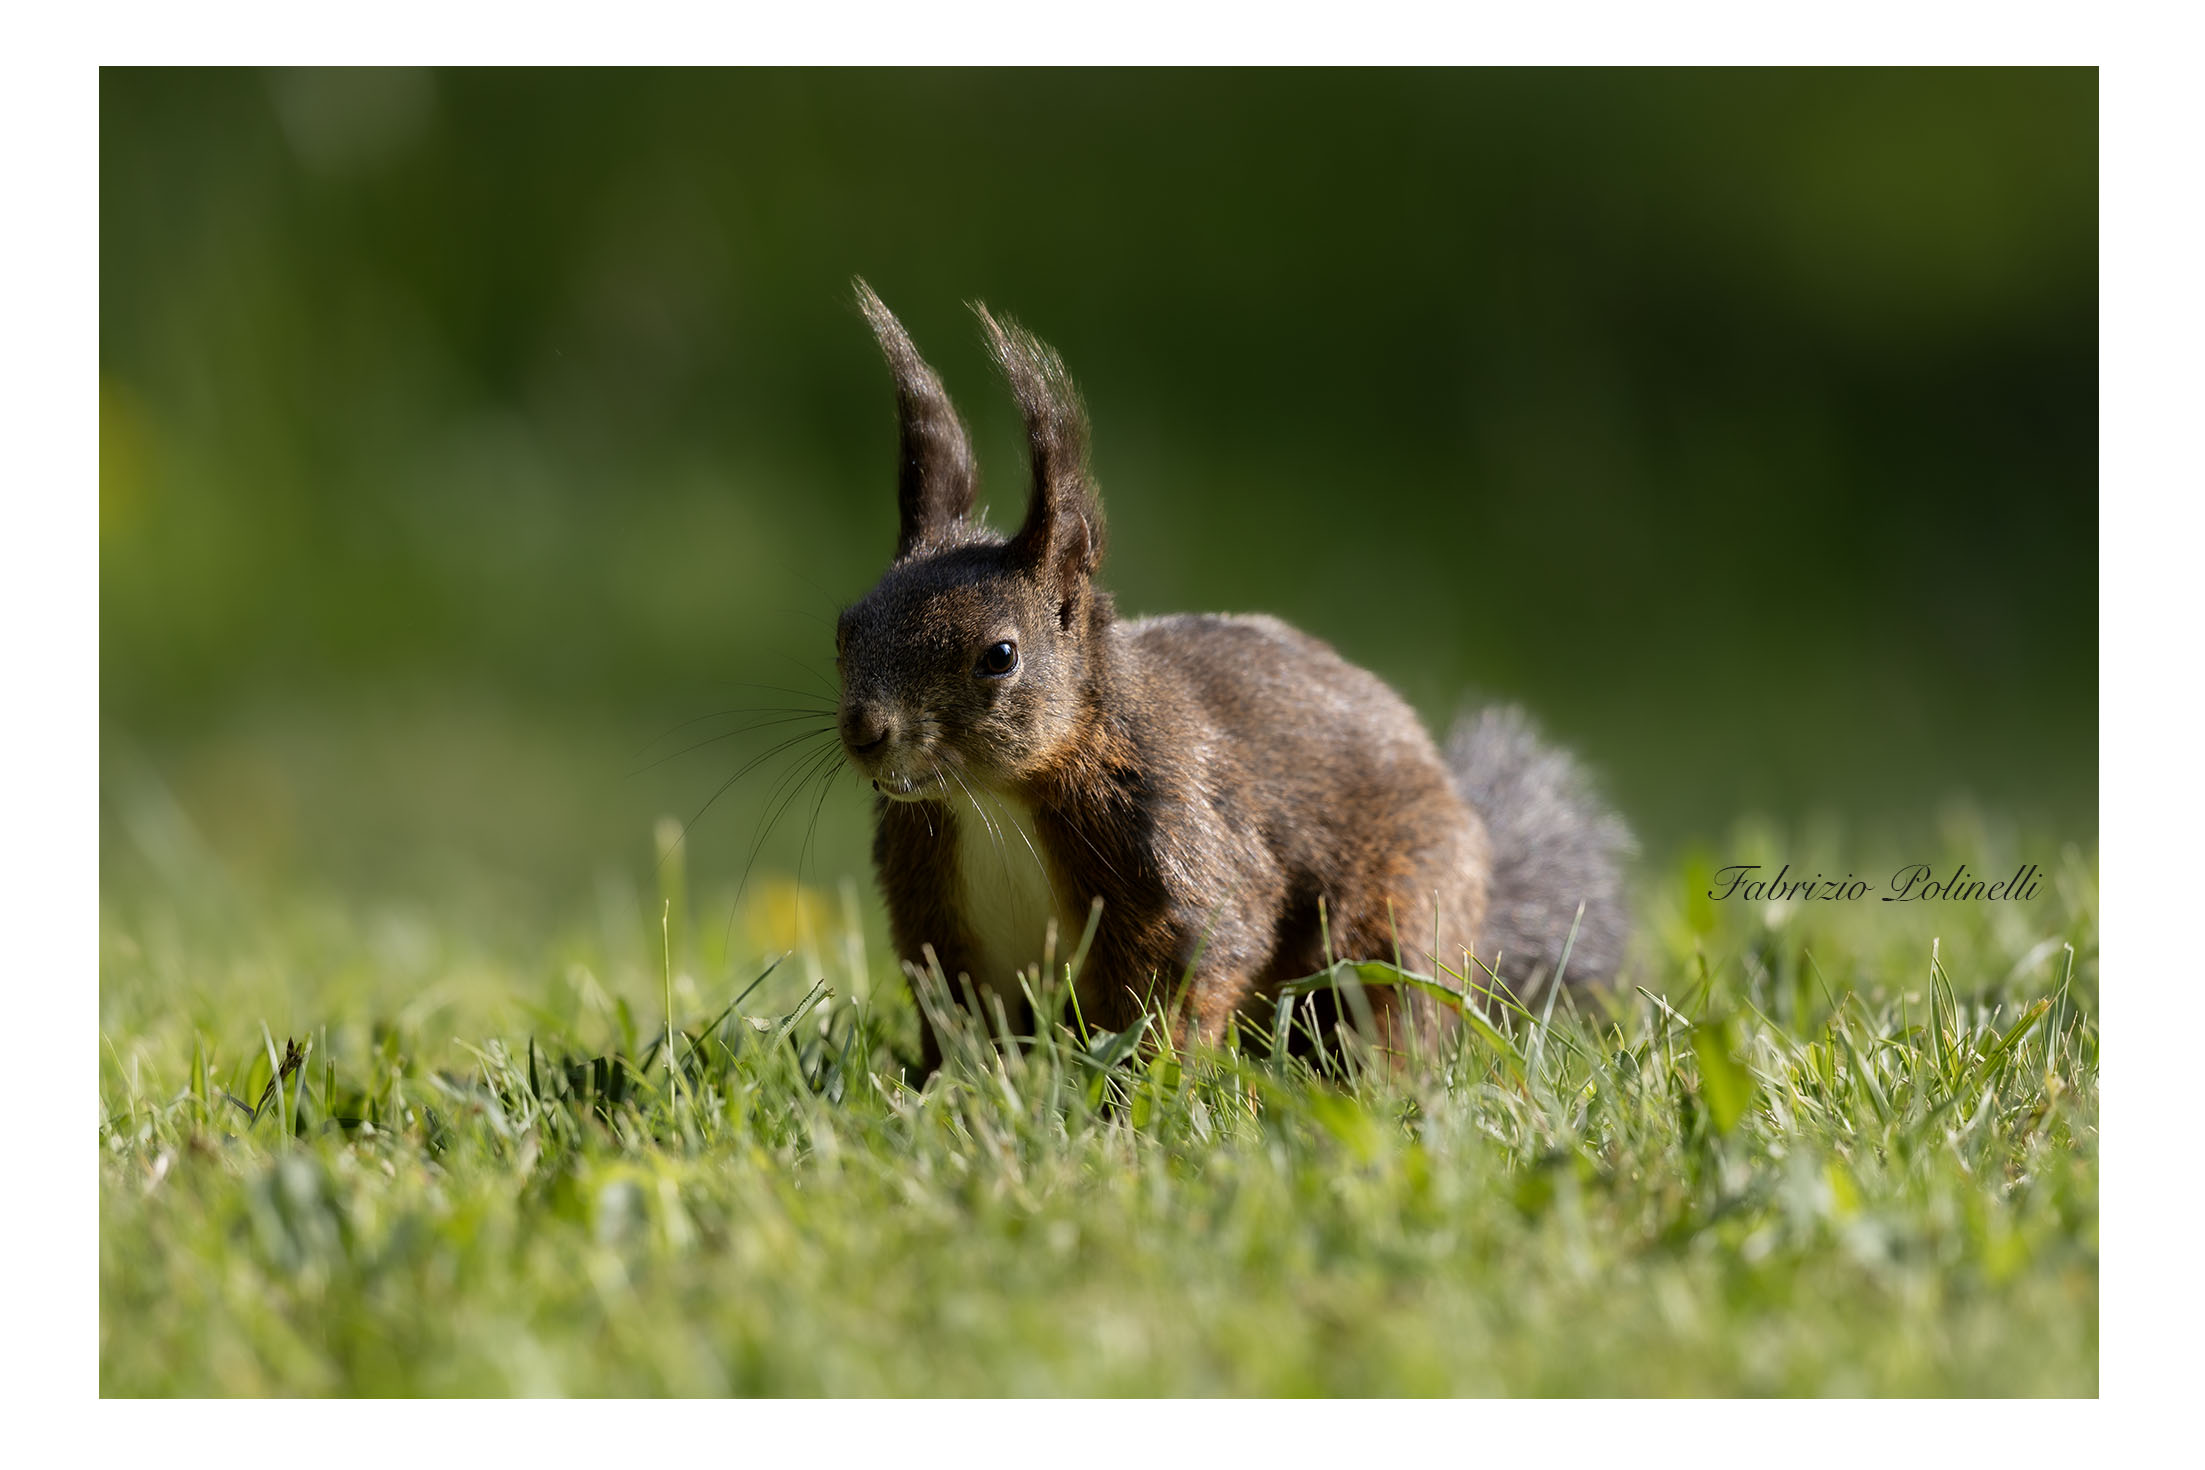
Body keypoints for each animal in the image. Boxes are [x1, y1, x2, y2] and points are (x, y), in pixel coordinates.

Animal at [836, 281, 1633, 1072]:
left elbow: (1193, 977)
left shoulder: (1179, 853)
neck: (994, 803)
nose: (866, 732)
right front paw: (937, 1088)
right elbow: (963, 1020)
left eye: (999, 655)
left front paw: (1140, 1088)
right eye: (844, 627)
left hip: (1401, 914)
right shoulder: (939, 917)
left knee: (1391, 1009)